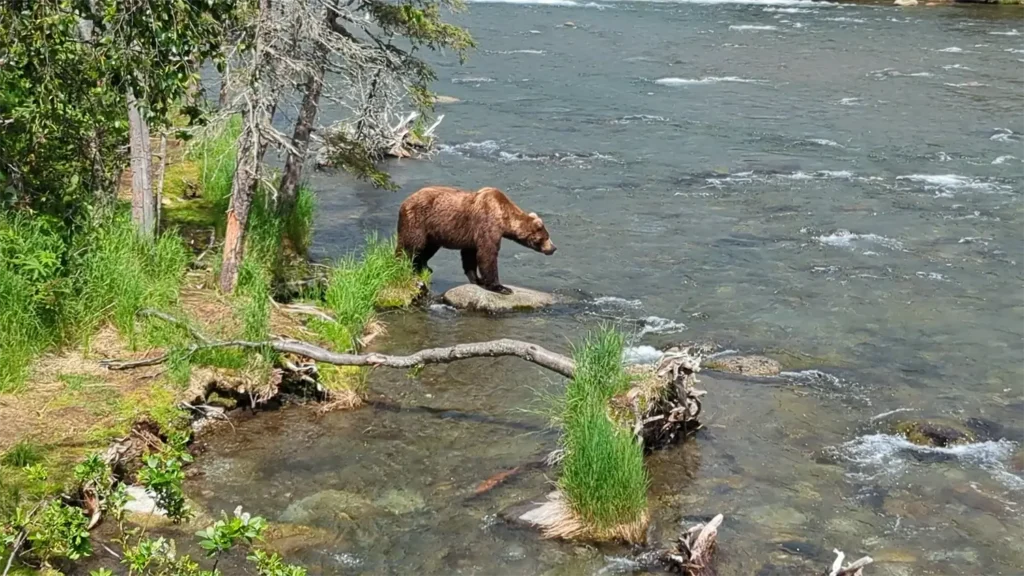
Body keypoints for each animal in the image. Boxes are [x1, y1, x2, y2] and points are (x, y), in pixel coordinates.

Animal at [395, 186, 556, 295]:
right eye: (546, 237)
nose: (554, 248)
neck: (504, 218)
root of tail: (404, 202)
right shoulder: (487, 224)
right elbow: (487, 254)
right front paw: (501, 287)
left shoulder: (472, 235)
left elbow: (469, 256)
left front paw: (477, 279)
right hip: (418, 221)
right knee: (412, 245)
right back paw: (403, 265)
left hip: (433, 233)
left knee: (426, 249)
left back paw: (423, 267)